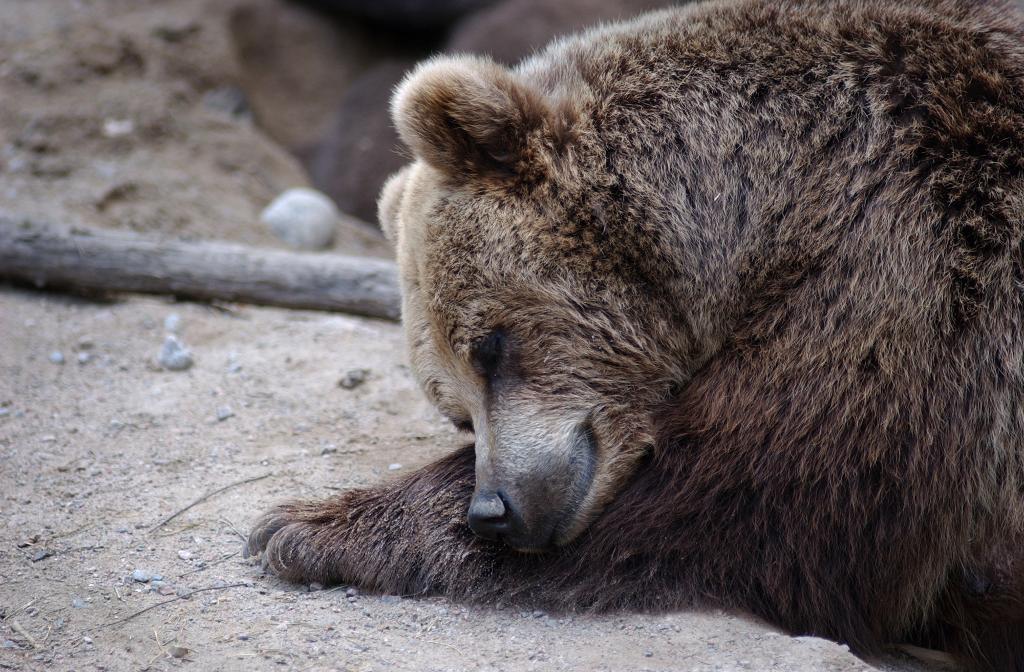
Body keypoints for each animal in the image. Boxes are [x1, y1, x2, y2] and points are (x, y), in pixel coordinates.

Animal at [245, 2, 1024, 667]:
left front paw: (305, 527)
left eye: (491, 347)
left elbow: (768, 499)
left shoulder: (912, 266)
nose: (495, 511)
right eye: (456, 412)